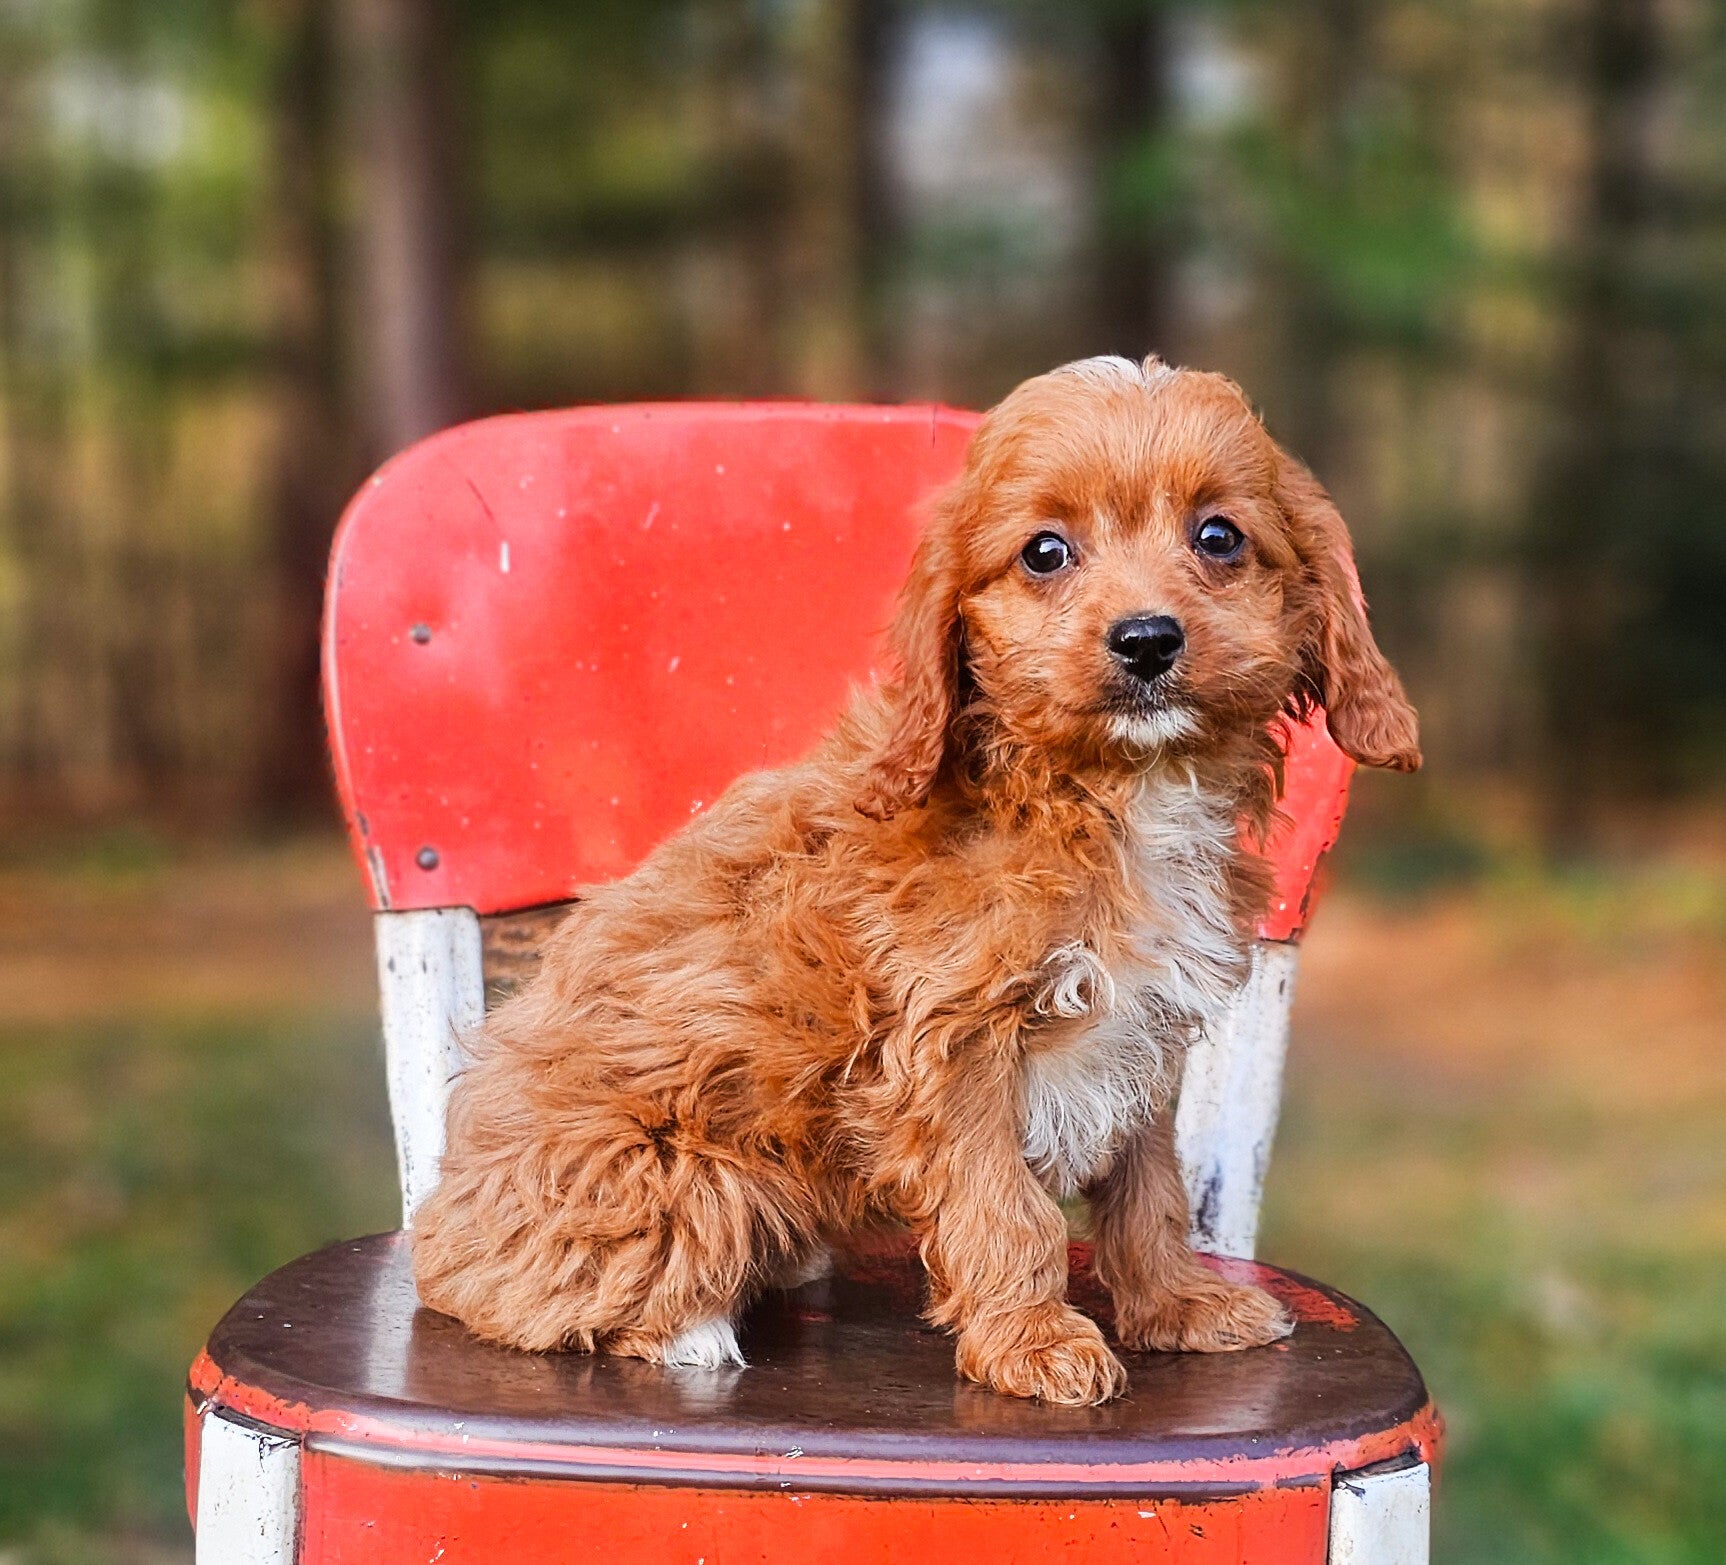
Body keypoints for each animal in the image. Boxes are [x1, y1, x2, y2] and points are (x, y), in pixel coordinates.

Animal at [412, 355, 1420, 1406]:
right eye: (1045, 553)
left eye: (1219, 536)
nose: (1147, 639)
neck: (1107, 792)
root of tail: (439, 1222)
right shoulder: (951, 1047)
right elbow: (1005, 1208)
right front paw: (1033, 1342)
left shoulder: (1140, 1035)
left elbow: (1150, 1187)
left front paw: (1176, 1305)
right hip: (686, 1172)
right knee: (534, 1294)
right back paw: (691, 1330)